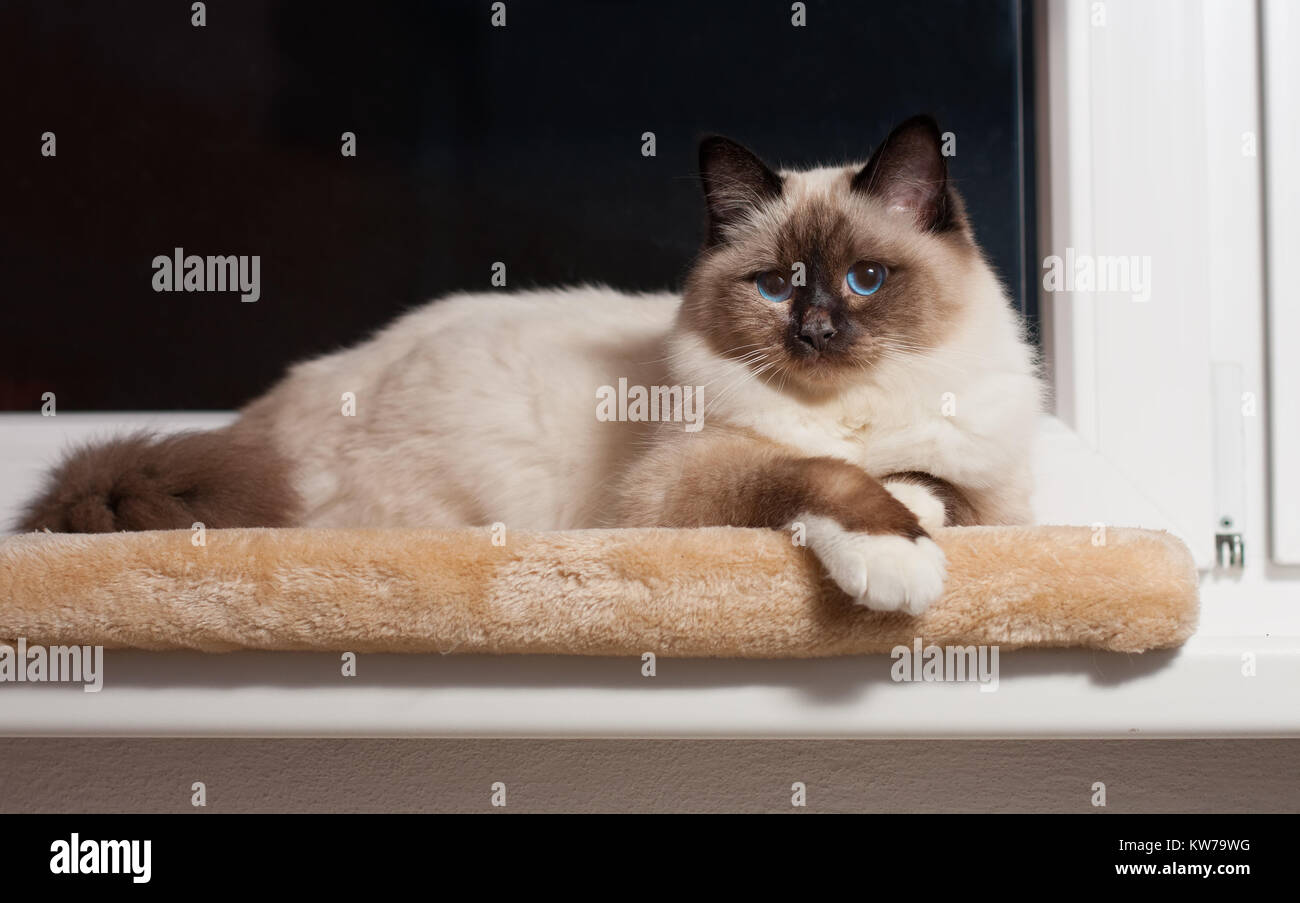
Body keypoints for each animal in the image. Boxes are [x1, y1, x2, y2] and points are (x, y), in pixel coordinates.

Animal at [17, 116, 1034, 615]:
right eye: (778, 286)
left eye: (865, 279)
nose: (816, 331)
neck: (848, 407)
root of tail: (261, 417)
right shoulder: (674, 487)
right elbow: (820, 475)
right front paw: (897, 558)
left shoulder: (993, 487)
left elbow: (935, 486)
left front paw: (916, 509)